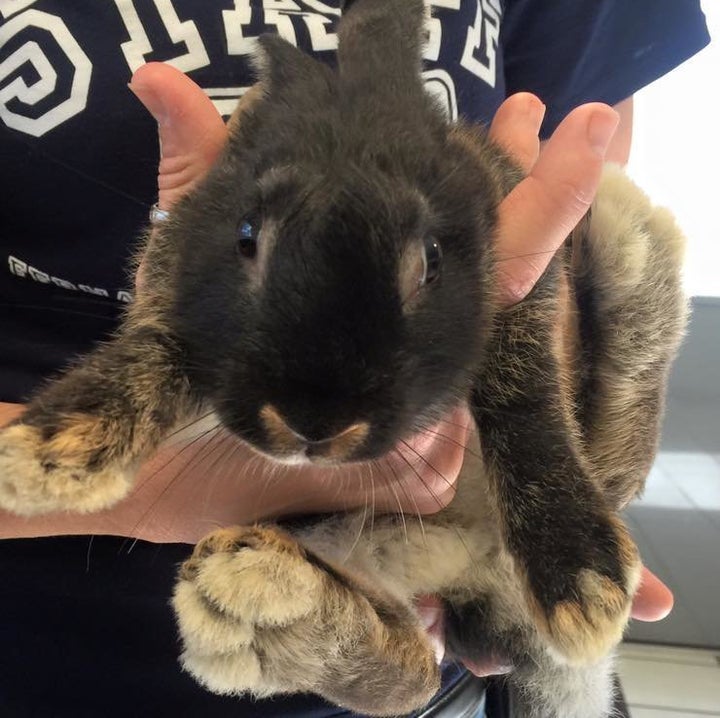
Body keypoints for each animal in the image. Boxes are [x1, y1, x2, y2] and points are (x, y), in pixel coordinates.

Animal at [0, 1, 688, 718]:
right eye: (246, 237)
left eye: (429, 260)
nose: (313, 424)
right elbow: (159, 346)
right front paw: (54, 449)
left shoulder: (520, 282)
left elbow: (520, 386)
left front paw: (581, 577)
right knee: (413, 670)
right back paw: (261, 601)